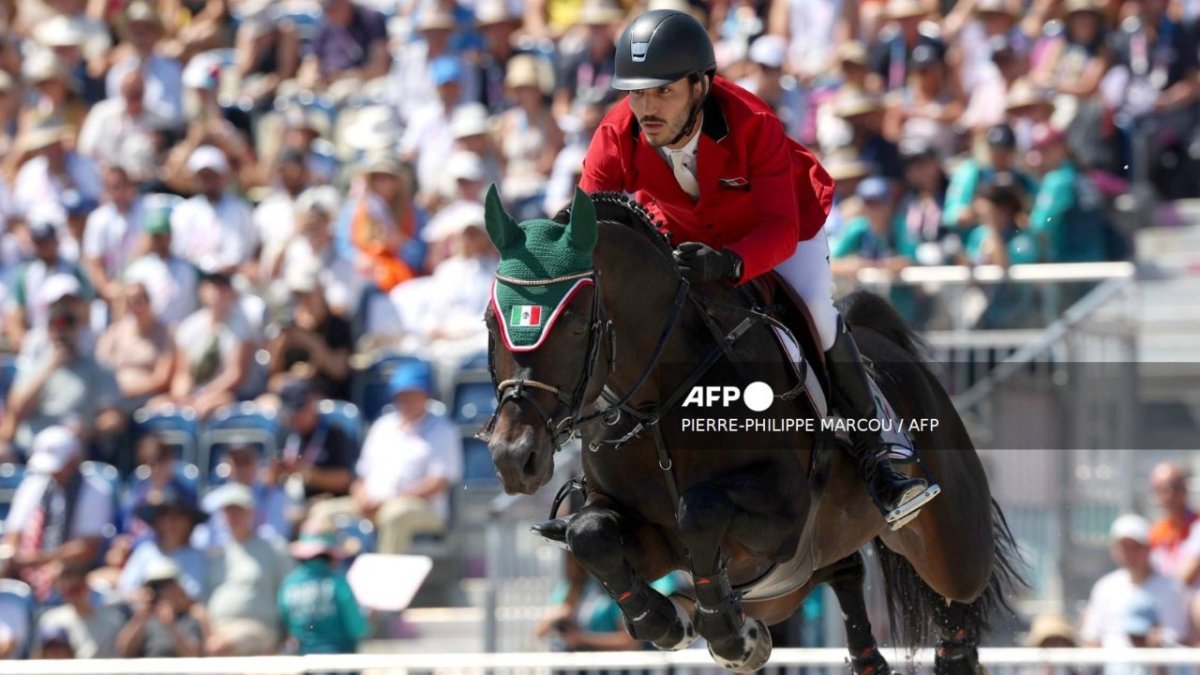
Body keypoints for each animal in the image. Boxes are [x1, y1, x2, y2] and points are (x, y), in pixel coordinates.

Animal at [480, 189, 1022, 672]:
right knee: (845, 571)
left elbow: (699, 510)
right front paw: (671, 622)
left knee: (957, 597)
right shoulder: (643, 534)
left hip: (950, 540)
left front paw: (732, 638)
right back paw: (865, 659)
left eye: (574, 327)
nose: (514, 457)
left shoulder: (784, 514)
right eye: (490, 322)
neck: (657, 399)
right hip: (790, 584)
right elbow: (590, 534)